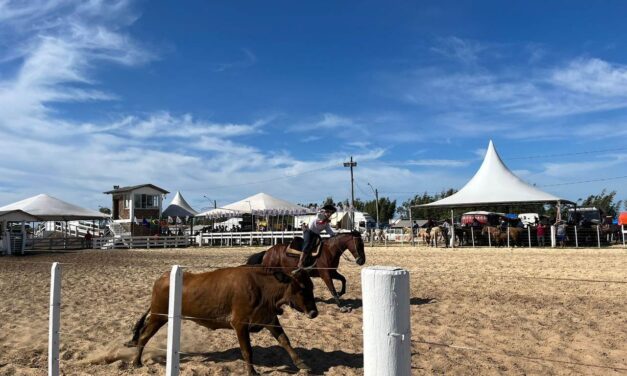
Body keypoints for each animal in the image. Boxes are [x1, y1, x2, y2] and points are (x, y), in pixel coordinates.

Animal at [127, 266, 316, 374]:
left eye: (312, 287)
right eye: (301, 288)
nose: (314, 312)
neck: (262, 288)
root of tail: (162, 278)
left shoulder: (270, 320)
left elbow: (285, 341)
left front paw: (302, 364)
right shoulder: (240, 324)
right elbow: (247, 351)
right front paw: (252, 372)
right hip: (158, 316)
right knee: (143, 336)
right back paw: (136, 362)